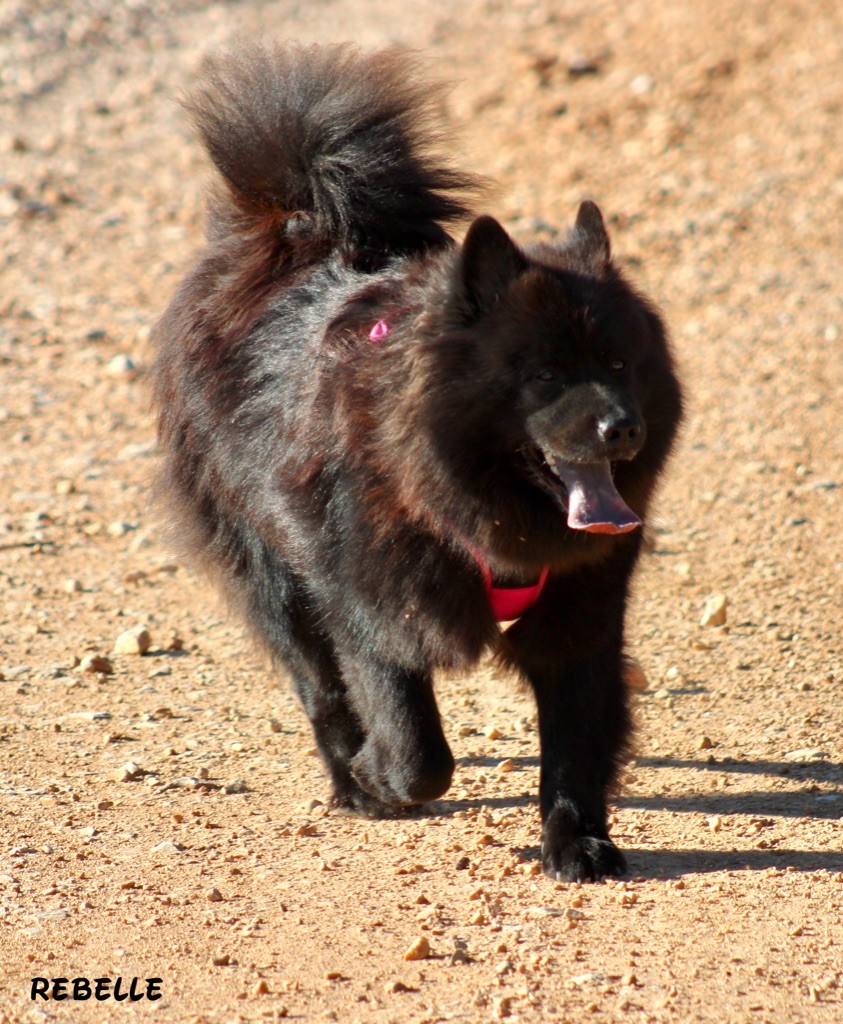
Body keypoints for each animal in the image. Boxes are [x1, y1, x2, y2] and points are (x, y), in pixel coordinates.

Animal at [154, 44, 684, 884]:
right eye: (544, 375)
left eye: (618, 363)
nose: (621, 427)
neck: (467, 502)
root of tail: (293, 232)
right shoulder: (372, 609)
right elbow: (417, 752)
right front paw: (376, 776)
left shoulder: (580, 620)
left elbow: (572, 750)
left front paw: (576, 841)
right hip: (272, 571)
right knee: (319, 688)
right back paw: (349, 779)